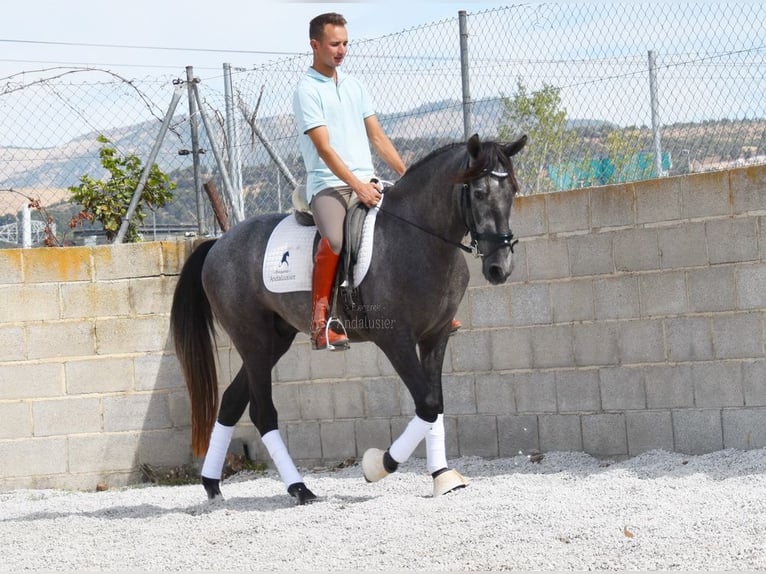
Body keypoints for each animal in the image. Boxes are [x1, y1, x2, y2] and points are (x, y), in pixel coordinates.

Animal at [171, 133, 528, 506]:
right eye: (479, 193)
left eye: (512, 191)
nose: (500, 267)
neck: (419, 239)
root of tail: (218, 244)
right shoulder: (396, 340)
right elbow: (427, 404)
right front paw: (377, 465)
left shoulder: (437, 335)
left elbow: (436, 403)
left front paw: (442, 476)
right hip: (251, 339)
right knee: (262, 412)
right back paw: (300, 489)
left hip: (273, 342)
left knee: (231, 402)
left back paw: (213, 485)